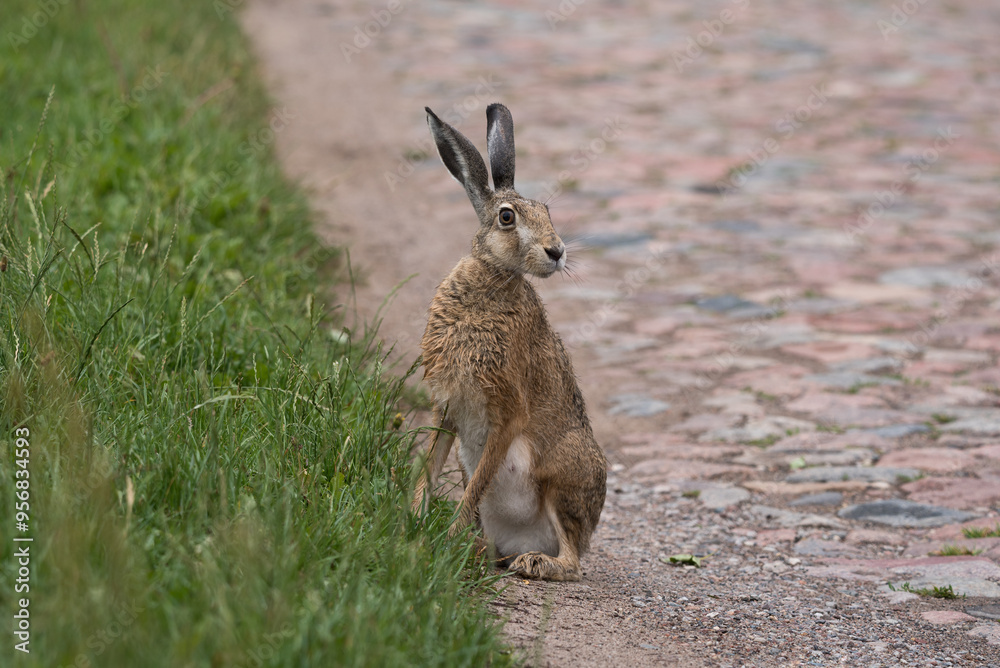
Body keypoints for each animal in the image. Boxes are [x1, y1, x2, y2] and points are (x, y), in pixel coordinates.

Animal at [411, 102, 607, 582]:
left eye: (547, 211)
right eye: (507, 217)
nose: (557, 252)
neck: (491, 277)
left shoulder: (507, 411)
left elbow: (479, 481)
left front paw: (444, 537)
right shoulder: (447, 406)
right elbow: (429, 466)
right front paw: (413, 519)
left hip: (563, 476)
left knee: (573, 561)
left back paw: (534, 562)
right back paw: (484, 554)